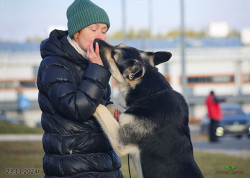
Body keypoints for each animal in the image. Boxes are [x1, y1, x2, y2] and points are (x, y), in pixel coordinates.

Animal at [93, 39, 203, 178]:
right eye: (117, 45)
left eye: (114, 54)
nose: (96, 40)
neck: (151, 93)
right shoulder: (129, 115)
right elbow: (113, 107)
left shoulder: (120, 139)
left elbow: (100, 107)